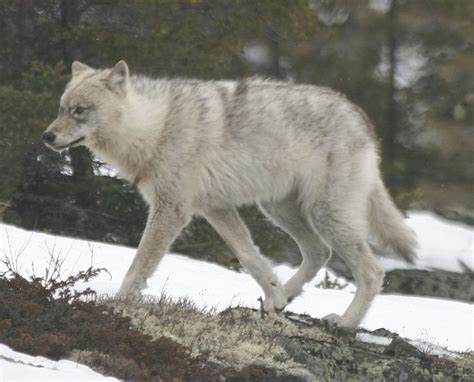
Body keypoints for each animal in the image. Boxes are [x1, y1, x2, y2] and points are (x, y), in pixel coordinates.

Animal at [42, 61, 416, 326]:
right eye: (60, 108)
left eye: (80, 110)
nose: (47, 137)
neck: (155, 128)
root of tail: (360, 117)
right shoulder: (215, 208)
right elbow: (251, 258)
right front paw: (274, 294)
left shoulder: (172, 211)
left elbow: (139, 266)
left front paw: (118, 302)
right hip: (280, 210)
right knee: (318, 253)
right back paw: (283, 299)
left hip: (324, 215)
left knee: (372, 272)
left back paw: (345, 323)